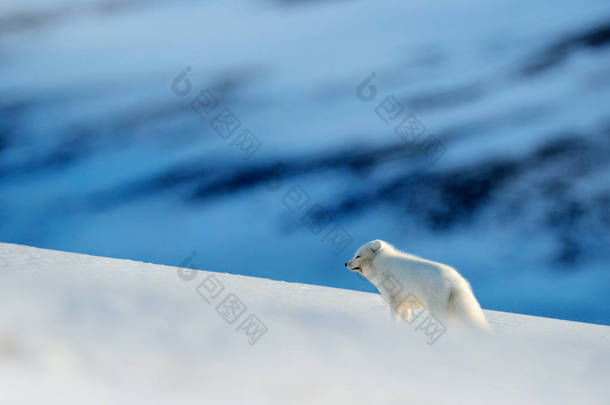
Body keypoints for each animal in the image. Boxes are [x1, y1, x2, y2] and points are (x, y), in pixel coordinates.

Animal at [344, 238, 492, 330]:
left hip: (436, 308)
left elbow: (394, 320)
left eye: (358, 256)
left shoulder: (394, 301)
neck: (380, 265)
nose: (345, 263)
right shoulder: (405, 305)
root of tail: (455, 279)